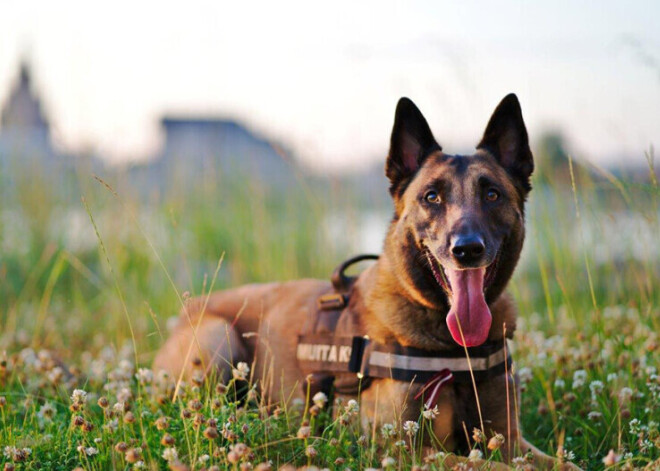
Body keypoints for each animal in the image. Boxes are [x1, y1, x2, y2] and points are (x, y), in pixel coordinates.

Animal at [153, 94, 576, 470]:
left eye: (492, 194)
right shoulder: (402, 448)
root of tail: (190, 306)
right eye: (432, 197)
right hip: (218, 340)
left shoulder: (509, 438)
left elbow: (561, 464)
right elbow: (483, 465)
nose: (466, 249)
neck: (454, 350)